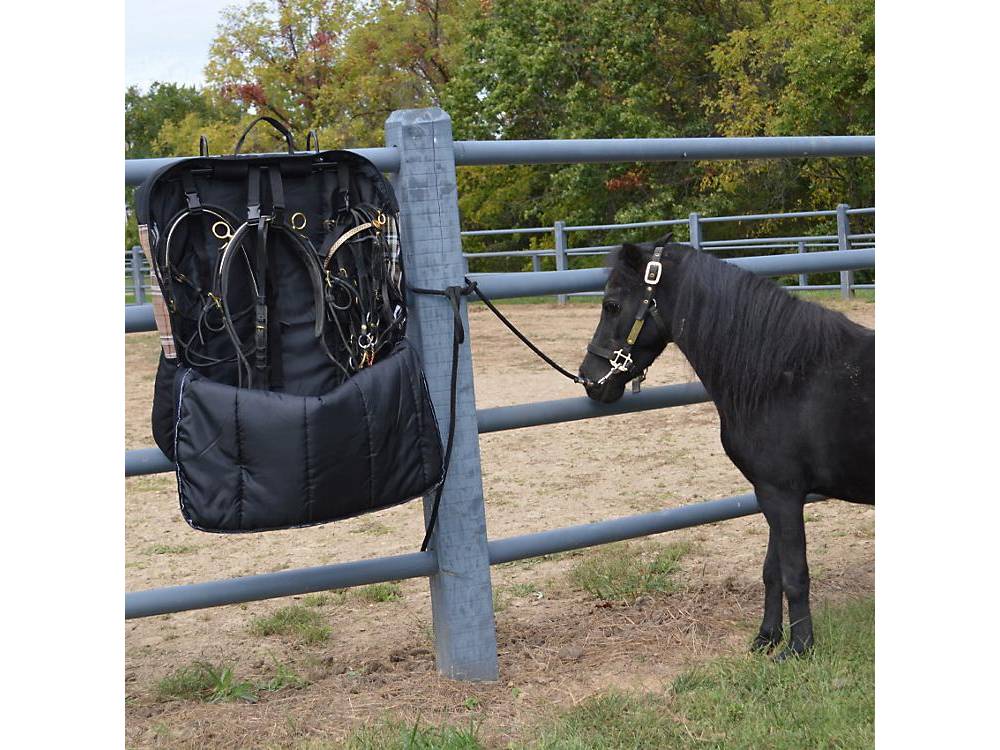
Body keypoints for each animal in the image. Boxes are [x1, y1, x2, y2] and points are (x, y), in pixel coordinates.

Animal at [579, 237, 874, 659]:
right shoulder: (772, 493)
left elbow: (795, 573)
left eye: (612, 305)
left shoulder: (782, 494)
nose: (589, 379)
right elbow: (773, 571)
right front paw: (766, 638)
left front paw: (799, 648)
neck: (787, 377)